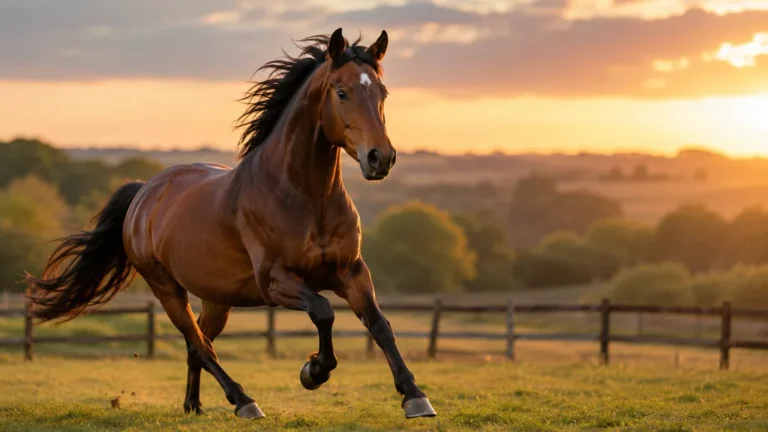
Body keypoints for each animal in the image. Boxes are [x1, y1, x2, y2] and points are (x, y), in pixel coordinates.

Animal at [26, 28, 436, 420]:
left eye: (382, 93)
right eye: (342, 92)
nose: (381, 158)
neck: (307, 197)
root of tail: (144, 193)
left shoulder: (351, 271)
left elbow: (380, 325)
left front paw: (415, 397)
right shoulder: (276, 280)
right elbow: (323, 311)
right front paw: (313, 371)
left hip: (217, 298)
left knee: (199, 345)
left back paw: (194, 405)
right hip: (167, 289)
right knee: (200, 345)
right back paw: (244, 402)